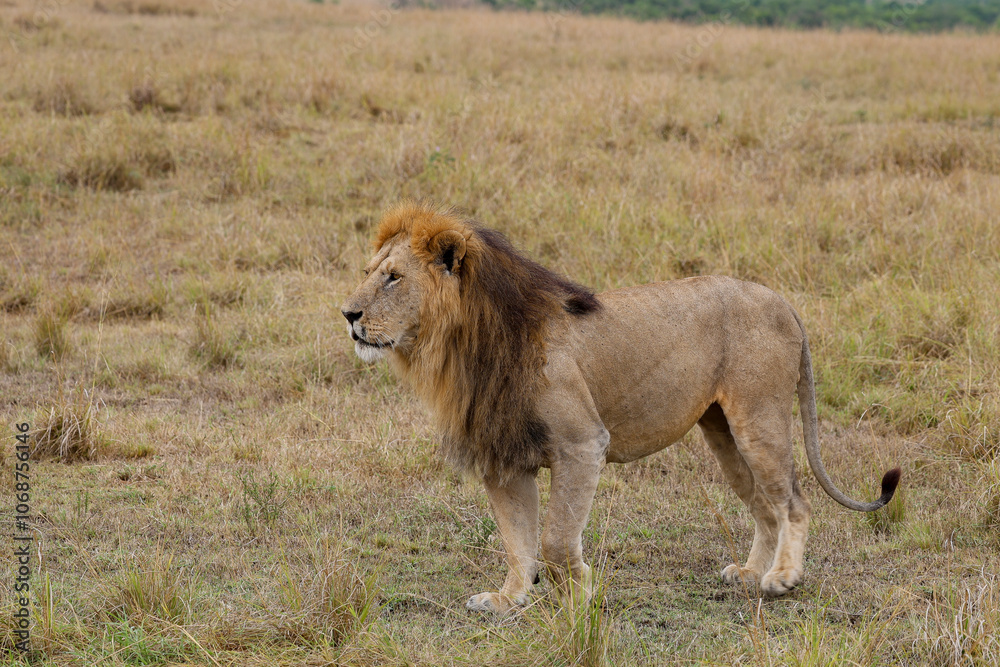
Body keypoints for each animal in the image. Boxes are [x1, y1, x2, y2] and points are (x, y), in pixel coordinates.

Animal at [341, 201, 900, 613]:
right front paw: (509, 598)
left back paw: (782, 578)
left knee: (794, 502)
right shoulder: (504, 457)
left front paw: (582, 595)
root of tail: (780, 299)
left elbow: (556, 540)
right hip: (722, 431)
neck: (461, 344)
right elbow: (517, 539)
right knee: (764, 504)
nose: (347, 314)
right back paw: (750, 573)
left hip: (759, 419)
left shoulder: (581, 443)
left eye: (393, 278)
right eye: (369, 272)